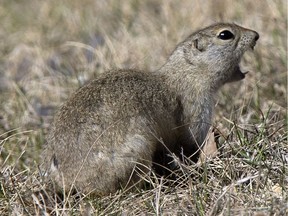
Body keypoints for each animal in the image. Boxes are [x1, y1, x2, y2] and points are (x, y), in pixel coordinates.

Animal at [42, 22, 258, 195]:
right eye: (225, 34)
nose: (256, 35)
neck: (188, 73)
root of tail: (71, 182)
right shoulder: (196, 112)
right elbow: (190, 143)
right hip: (139, 148)